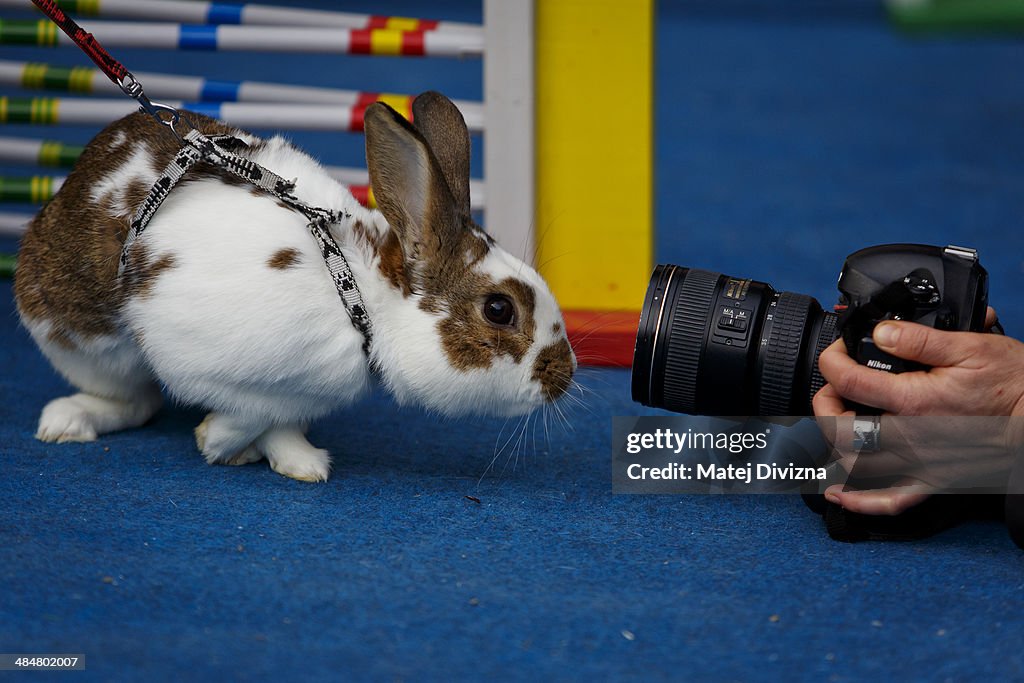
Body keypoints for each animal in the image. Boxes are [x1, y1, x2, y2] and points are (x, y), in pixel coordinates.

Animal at [14, 90, 577, 483]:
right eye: (499, 309)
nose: (564, 375)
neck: (360, 300)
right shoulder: (198, 355)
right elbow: (251, 409)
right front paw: (220, 442)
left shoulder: (298, 391)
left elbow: (279, 418)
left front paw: (297, 462)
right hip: (79, 338)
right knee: (131, 399)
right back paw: (65, 421)